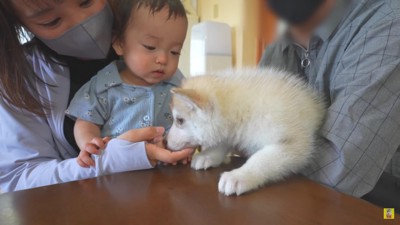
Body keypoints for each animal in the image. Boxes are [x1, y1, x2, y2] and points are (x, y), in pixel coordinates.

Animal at [166, 68, 324, 195]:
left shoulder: (293, 144)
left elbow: (261, 159)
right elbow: (222, 143)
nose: (165, 142)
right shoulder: (232, 131)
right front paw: (208, 155)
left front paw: (239, 176)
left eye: (179, 120)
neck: (245, 109)